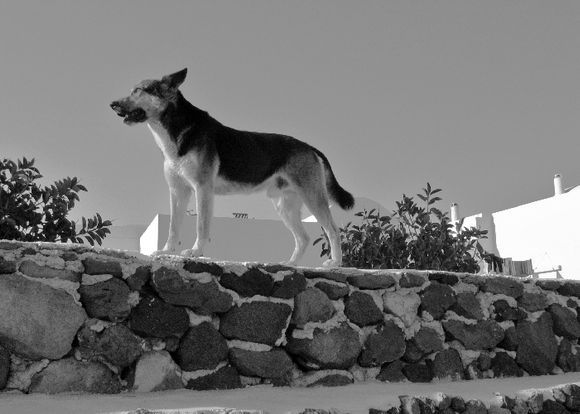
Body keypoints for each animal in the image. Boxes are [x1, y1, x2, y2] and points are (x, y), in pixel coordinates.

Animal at [109, 68, 354, 266]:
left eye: (139, 90)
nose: (112, 105)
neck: (176, 131)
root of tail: (309, 147)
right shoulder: (178, 191)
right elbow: (172, 227)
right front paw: (167, 251)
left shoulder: (202, 188)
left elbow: (201, 225)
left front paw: (196, 252)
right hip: (285, 206)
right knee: (303, 238)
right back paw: (291, 264)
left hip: (313, 198)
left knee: (333, 230)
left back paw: (334, 263)